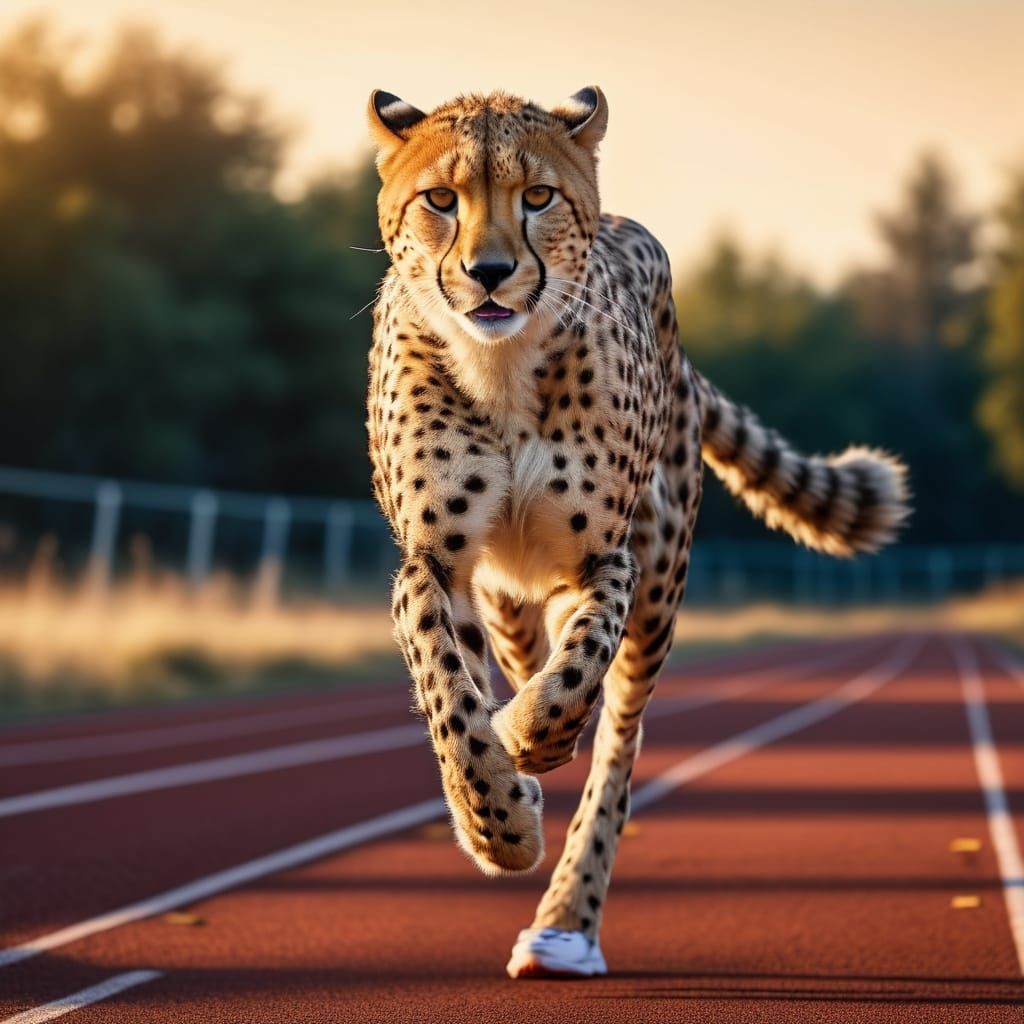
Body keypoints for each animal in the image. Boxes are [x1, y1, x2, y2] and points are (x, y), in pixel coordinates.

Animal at [364, 85, 909, 978]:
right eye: (440, 199)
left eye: (538, 197)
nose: (489, 272)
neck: (502, 366)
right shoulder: (433, 564)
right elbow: (450, 695)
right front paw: (497, 819)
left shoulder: (604, 561)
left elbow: (575, 677)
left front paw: (527, 740)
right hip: (509, 600)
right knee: (517, 663)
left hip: (656, 592)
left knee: (617, 748)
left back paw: (565, 919)